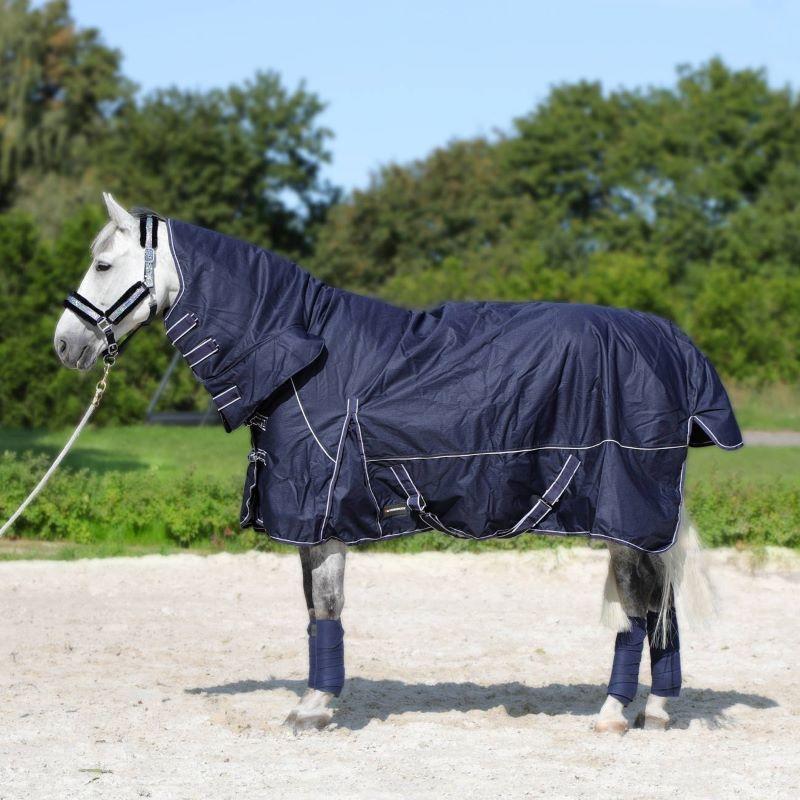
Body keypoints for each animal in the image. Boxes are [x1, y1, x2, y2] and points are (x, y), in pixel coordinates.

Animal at [54, 192, 712, 732]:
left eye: (104, 265)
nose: (65, 344)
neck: (305, 354)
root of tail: (675, 349)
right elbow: (315, 609)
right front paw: (316, 701)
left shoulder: (319, 513)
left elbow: (326, 605)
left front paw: (314, 708)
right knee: (662, 607)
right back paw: (655, 708)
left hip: (624, 515)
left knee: (637, 612)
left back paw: (613, 714)